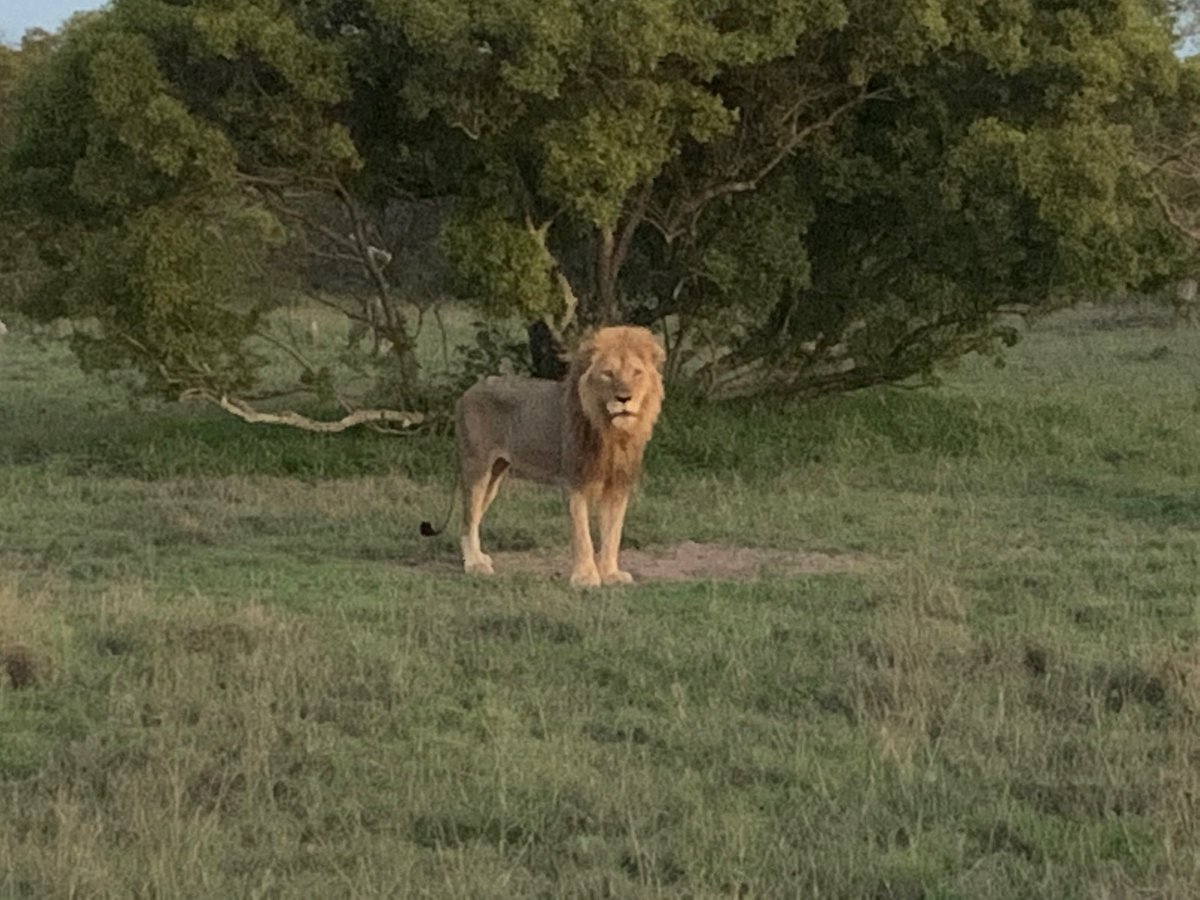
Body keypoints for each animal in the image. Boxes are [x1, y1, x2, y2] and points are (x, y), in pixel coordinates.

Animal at [422, 325, 665, 587]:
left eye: (636, 373)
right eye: (608, 374)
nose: (624, 398)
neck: (611, 431)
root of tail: (466, 393)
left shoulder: (618, 484)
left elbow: (613, 534)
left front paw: (611, 574)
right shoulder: (574, 481)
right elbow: (582, 535)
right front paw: (585, 578)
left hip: (494, 475)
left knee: (473, 517)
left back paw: (478, 557)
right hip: (476, 468)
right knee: (468, 520)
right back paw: (475, 565)